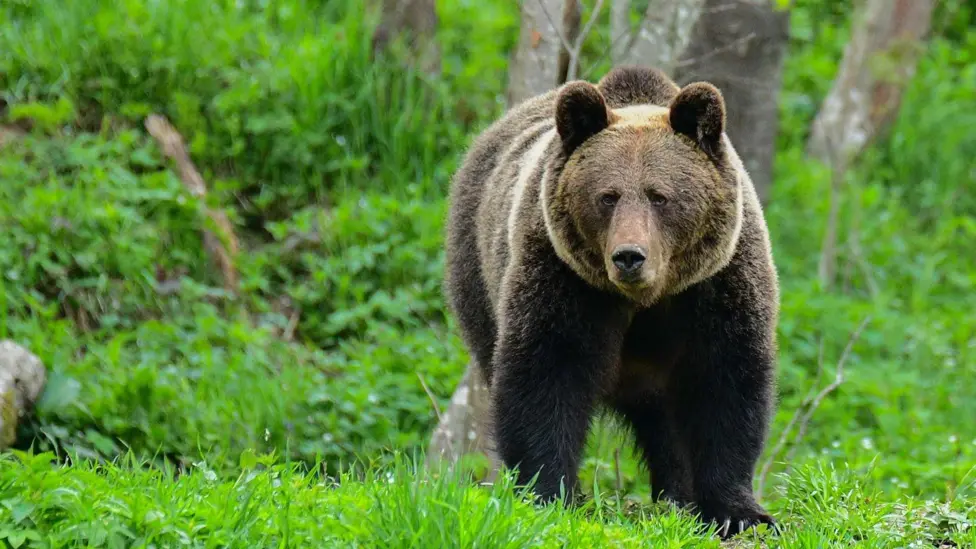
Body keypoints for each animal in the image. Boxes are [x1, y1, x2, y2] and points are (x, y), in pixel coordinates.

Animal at [443, 65, 779, 539]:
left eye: (660, 195)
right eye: (608, 195)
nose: (629, 256)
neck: (647, 298)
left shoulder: (716, 285)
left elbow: (725, 383)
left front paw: (739, 512)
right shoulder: (564, 278)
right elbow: (545, 376)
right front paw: (550, 494)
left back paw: (678, 495)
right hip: (476, 271)